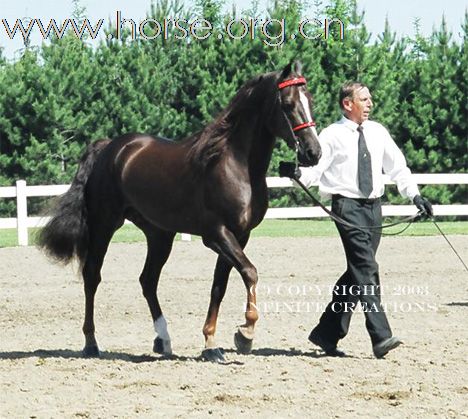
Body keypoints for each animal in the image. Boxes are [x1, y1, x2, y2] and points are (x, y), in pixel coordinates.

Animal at [38, 60, 322, 362]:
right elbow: (250, 272)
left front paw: (211, 345)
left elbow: (219, 286)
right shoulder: (217, 235)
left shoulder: (239, 236)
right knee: (92, 275)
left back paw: (163, 340)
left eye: (310, 100)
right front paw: (245, 333)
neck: (234, 165)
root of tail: (109, 148)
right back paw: (91, 343)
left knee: (148, 280)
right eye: (288, 104)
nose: (313, 152)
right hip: (105, 224)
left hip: (159, 234)